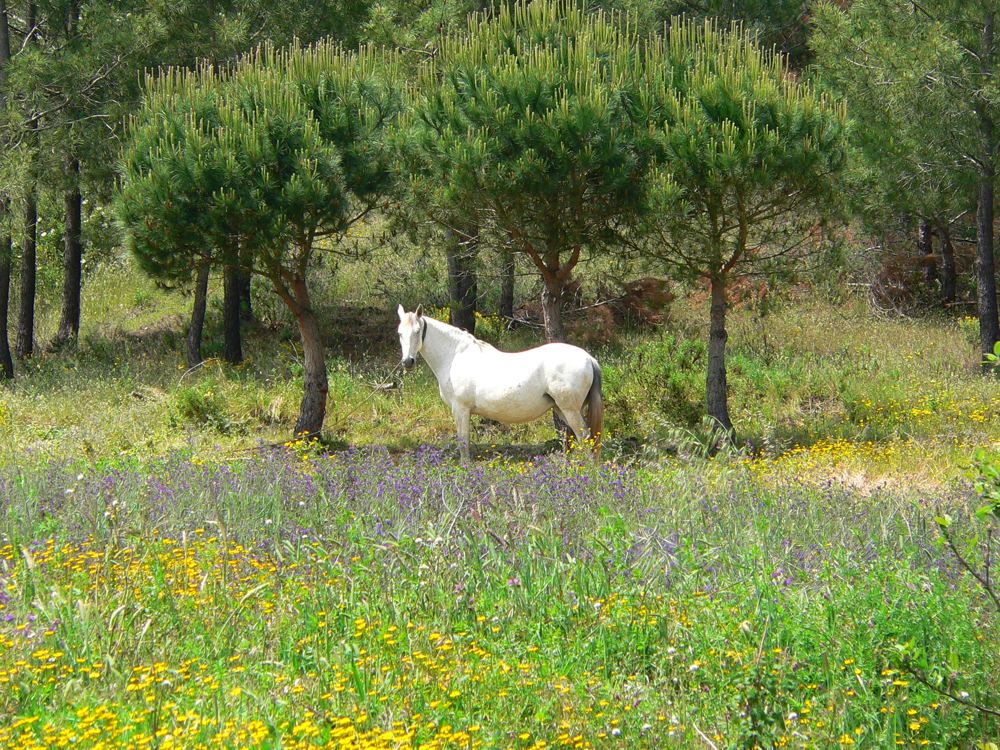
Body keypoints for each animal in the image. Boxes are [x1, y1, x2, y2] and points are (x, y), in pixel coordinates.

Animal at [396, 304, 603, 461]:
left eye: (417, 332)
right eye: (399, 333)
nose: (408, 362)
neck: (455, 355)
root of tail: (588, 358)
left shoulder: (460, 409)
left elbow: (463, 443)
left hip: (570, 409)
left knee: (585, 437)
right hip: (562, 409)